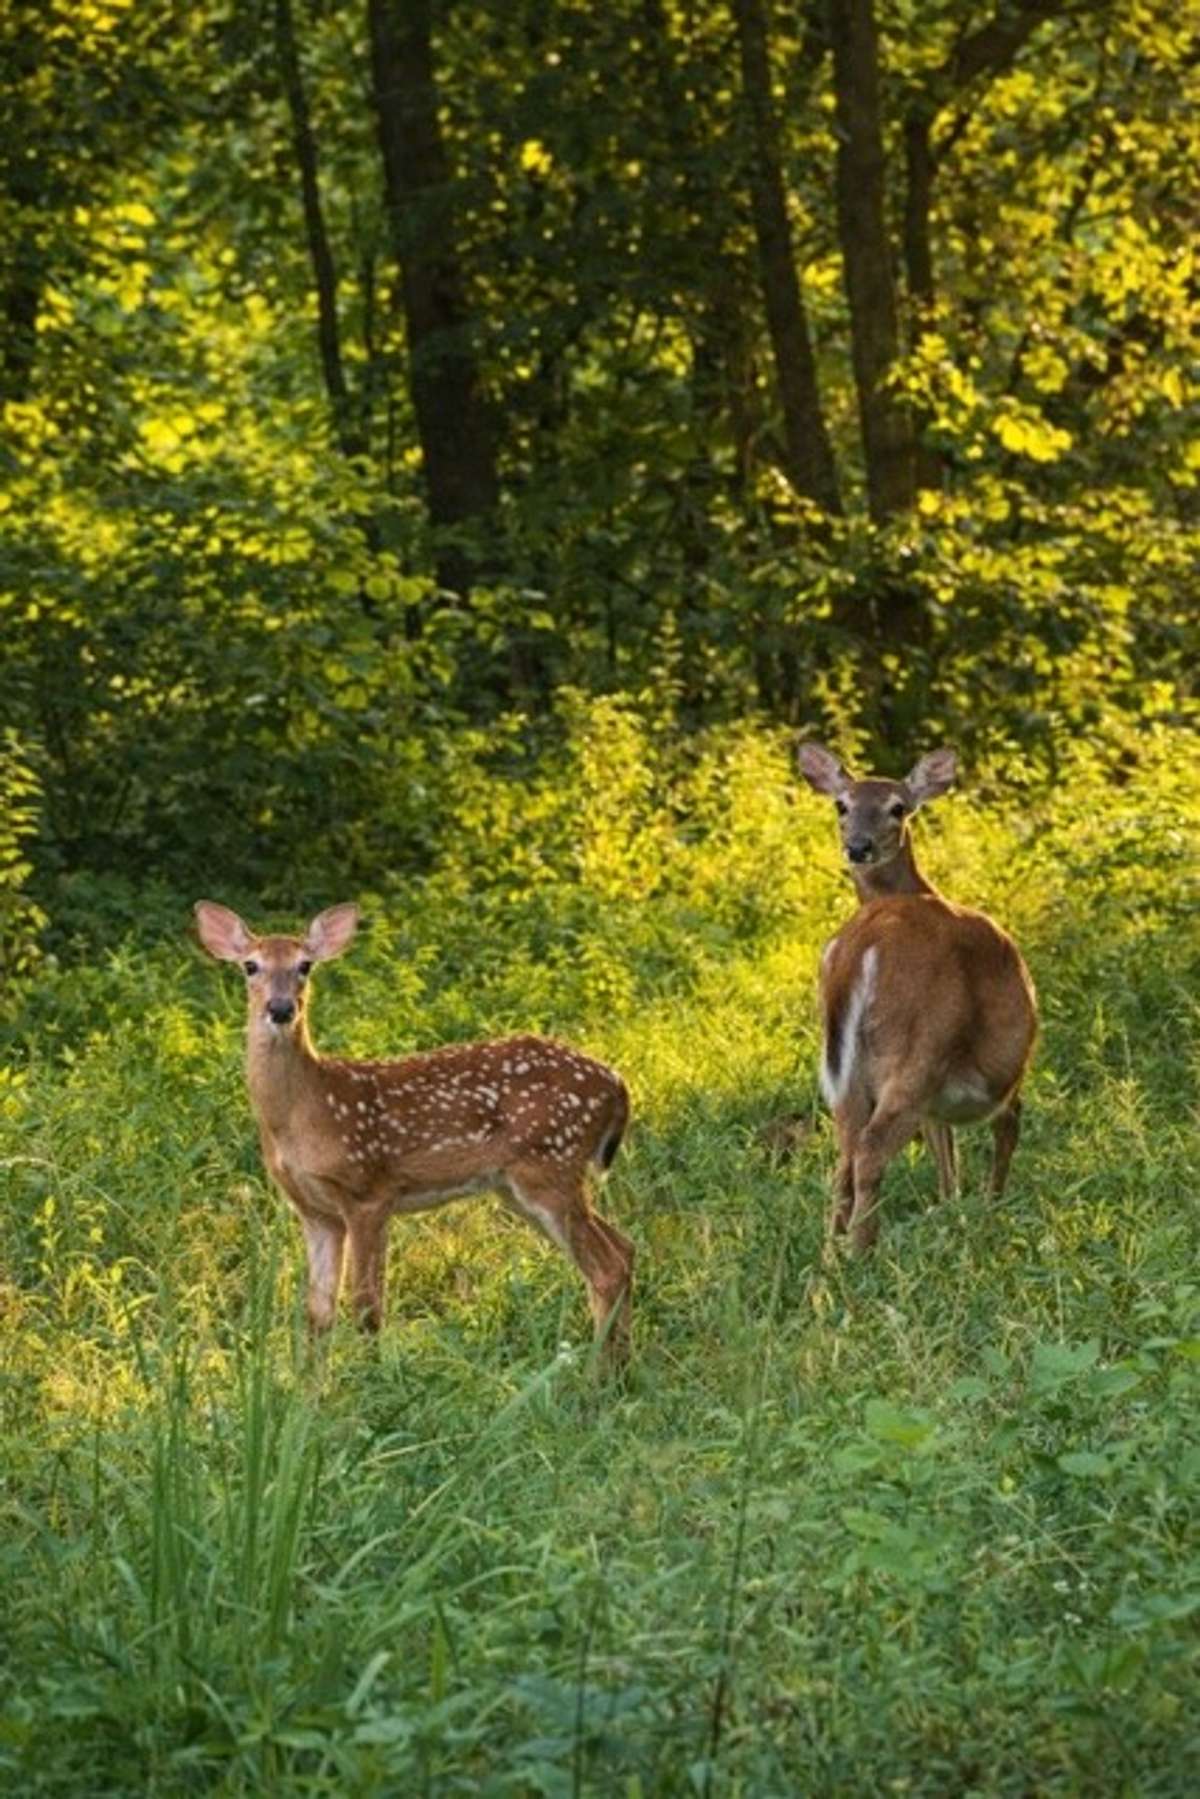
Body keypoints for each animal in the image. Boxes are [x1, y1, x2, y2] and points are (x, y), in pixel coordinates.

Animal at [194, 901, 634, 1364]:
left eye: (305, 966)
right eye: (250, 966)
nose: (280, 1009)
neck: (304, 1113)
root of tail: (617, 1086)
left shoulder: (369, 1191)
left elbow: (367, 1307)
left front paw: (368, 1377)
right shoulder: (315, 1211)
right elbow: (318, 1315)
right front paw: (311, 1384)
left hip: (550, 1166)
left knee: (607, 1267)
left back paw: (600, 1373)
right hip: (518, 1186)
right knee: (622, 1249)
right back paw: (619, 1366)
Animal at [797, 744, 1037, 1253]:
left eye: (897, 807)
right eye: (841, 805)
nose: (858, 846)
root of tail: (863, 943)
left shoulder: (936, 1098)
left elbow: (945, 1156)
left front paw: (954, 1214)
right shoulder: (1006, 1080)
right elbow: (1004, 1132)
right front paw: (990, 1212)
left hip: (852, 1075)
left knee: (843, 1156)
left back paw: (830, 1257)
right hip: (918, 1046)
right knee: (869, 1150)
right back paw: (860, 1252)